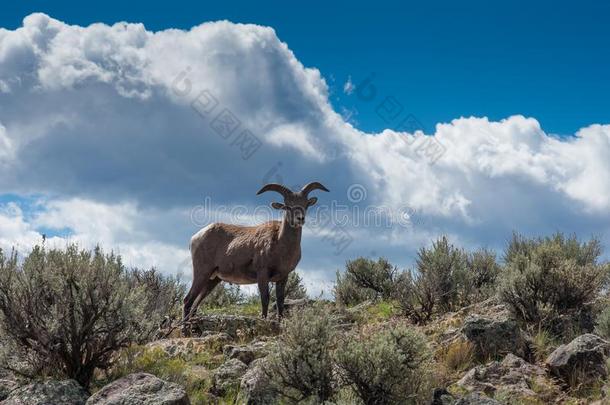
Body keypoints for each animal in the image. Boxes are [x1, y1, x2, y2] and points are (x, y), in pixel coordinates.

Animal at [182, 181, 328, 324]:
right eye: (287, 206)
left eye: (306, 204)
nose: (300, 219)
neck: (280, 244)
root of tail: (195, 237)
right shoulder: (262, 274)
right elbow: (265, 298)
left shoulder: (283, 277)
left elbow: (280, 301)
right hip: (202, 272)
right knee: (188, 300)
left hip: (213, 279)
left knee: (195, 302)